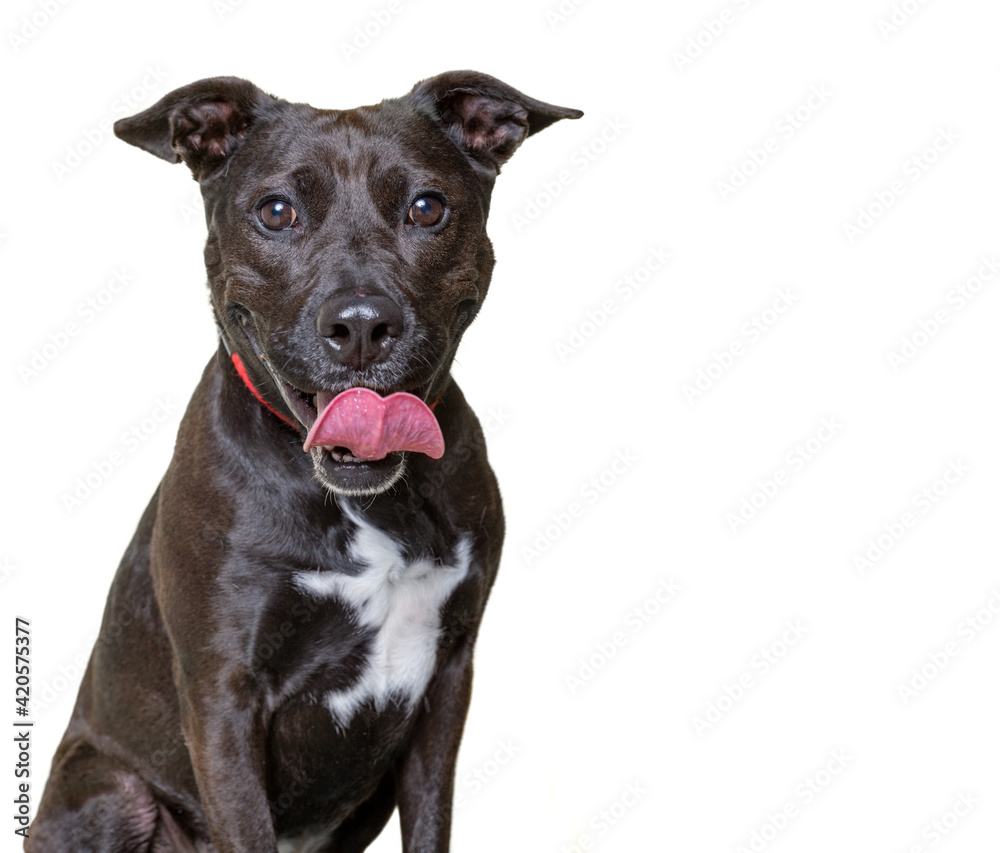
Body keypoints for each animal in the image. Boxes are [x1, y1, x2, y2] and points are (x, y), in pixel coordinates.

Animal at [27, 75, 584, 852]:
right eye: (276, 210)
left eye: (427, 207)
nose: (361, 324)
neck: (365, 501)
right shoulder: (223, 699)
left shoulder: (447, 683)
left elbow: (431, 825)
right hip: (110, 786)